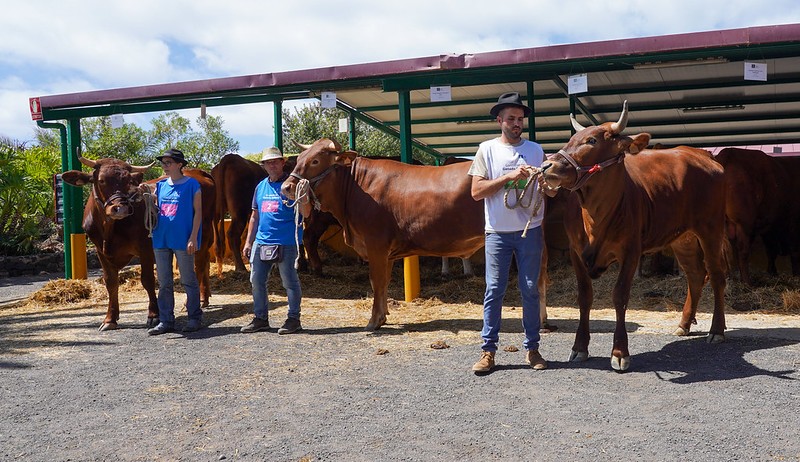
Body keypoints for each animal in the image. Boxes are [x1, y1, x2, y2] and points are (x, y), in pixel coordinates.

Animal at [61, 157, 216, 330]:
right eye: (101, 180)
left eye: (128, 181)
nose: (120, 208)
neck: (108, 229)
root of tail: (196, 172)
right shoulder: (101, 252)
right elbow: (111, 282)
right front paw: (110, 319)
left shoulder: (145, 249)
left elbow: (147, 280)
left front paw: (154, 315)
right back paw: (204, 297)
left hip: (202, 235)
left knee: (199, 266)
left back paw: (195, 301)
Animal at [284, 139, 484, 330]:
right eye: (300, 158)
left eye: (315, 161)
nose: (286, 187)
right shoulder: (387, 252)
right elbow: (384, 281)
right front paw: (384, 316)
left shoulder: (376, 244)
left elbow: (377, 281)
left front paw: (374, 320)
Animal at [540, 102, 728, 372]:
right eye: (570, 139)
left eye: (592, 140)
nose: (547, 166)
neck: (595, 215)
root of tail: (699, 154)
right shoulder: (576, 252)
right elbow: (584, 297)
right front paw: (579, 347)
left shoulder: (630, 251)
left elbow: (619, 296)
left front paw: (620, 352)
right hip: (683, 238)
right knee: (694, 275)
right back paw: (683, 324)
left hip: (711, 229)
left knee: (716, 276)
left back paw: (717, 330)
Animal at [712, 148, 800, 286]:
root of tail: (727, 154)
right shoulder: (793, 221)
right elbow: (794, 250)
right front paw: (796, 275)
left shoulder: (768, 226)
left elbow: (771, 250)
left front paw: (772, 272)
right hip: (743, 223)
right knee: (743, 251)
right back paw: (747, 282)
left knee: (723, 250)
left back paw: (727, 278)